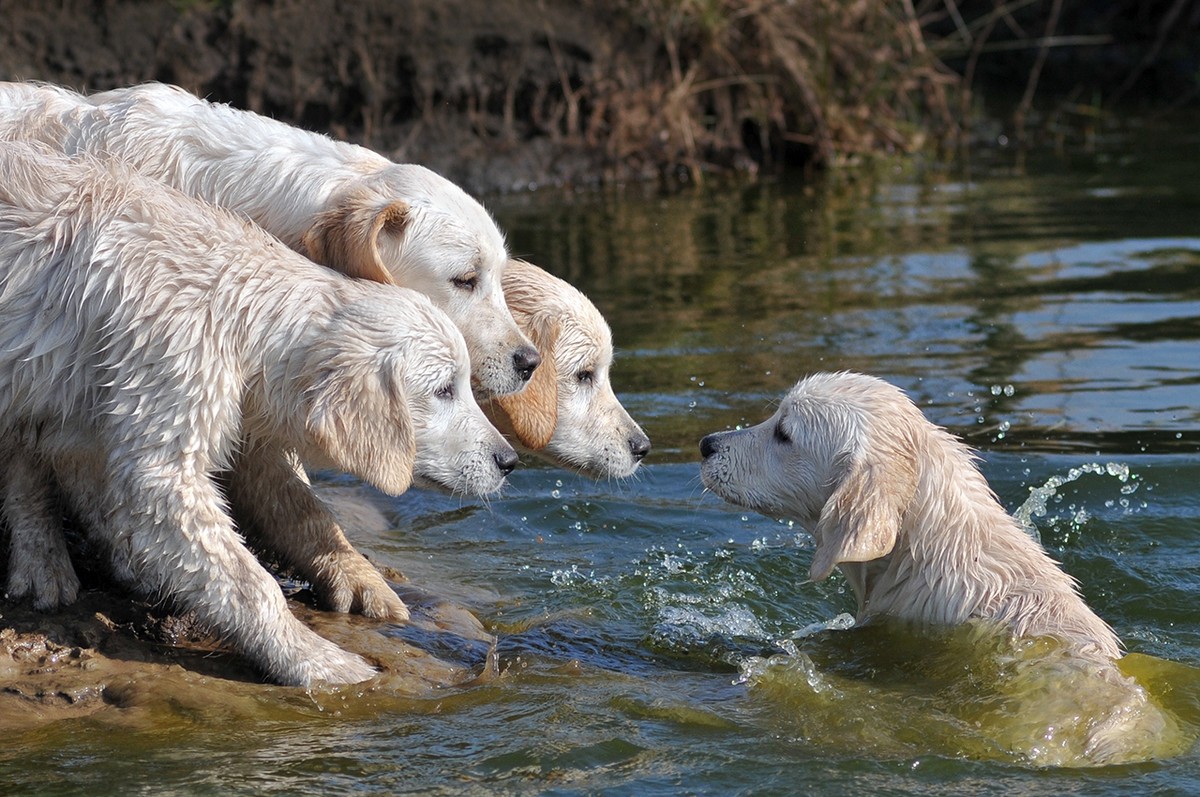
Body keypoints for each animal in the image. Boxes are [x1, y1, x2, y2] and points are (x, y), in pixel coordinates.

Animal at [0, 144, 513, 686]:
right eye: (443, 389)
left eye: (462, 385)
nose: (508, 461)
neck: (237, 302)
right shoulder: (168, 363)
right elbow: (228, 560)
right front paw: (323, 663)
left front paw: (357, 580)